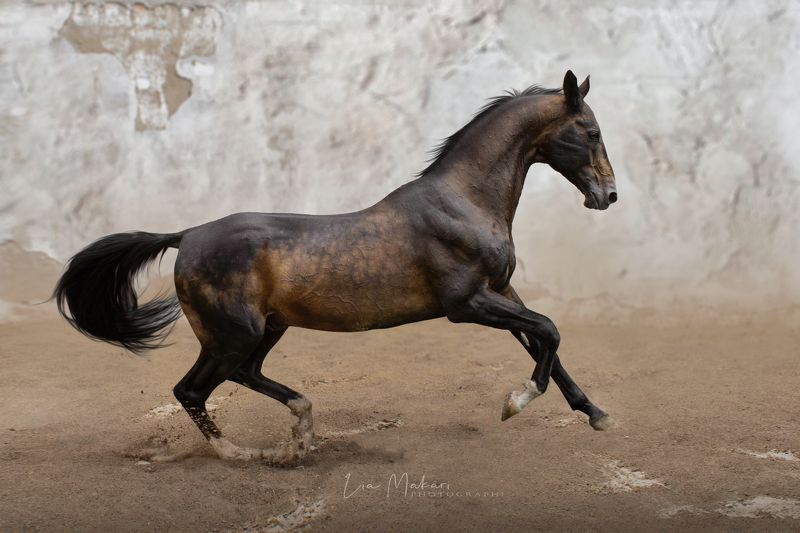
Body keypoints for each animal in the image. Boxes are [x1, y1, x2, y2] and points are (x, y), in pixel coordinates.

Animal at [54, 70, 618, 462]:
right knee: (194, 388)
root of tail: (186, 236)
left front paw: (596, 415)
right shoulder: (468, 303)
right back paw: (250, 452)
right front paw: (516, 401)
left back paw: (301, 429)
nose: (608, 196)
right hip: (233, 334)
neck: (464, 202)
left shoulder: (502, 291)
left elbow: (546, 341)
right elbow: (549, 331)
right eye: (590, 131)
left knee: (240, 375)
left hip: (264, 328)